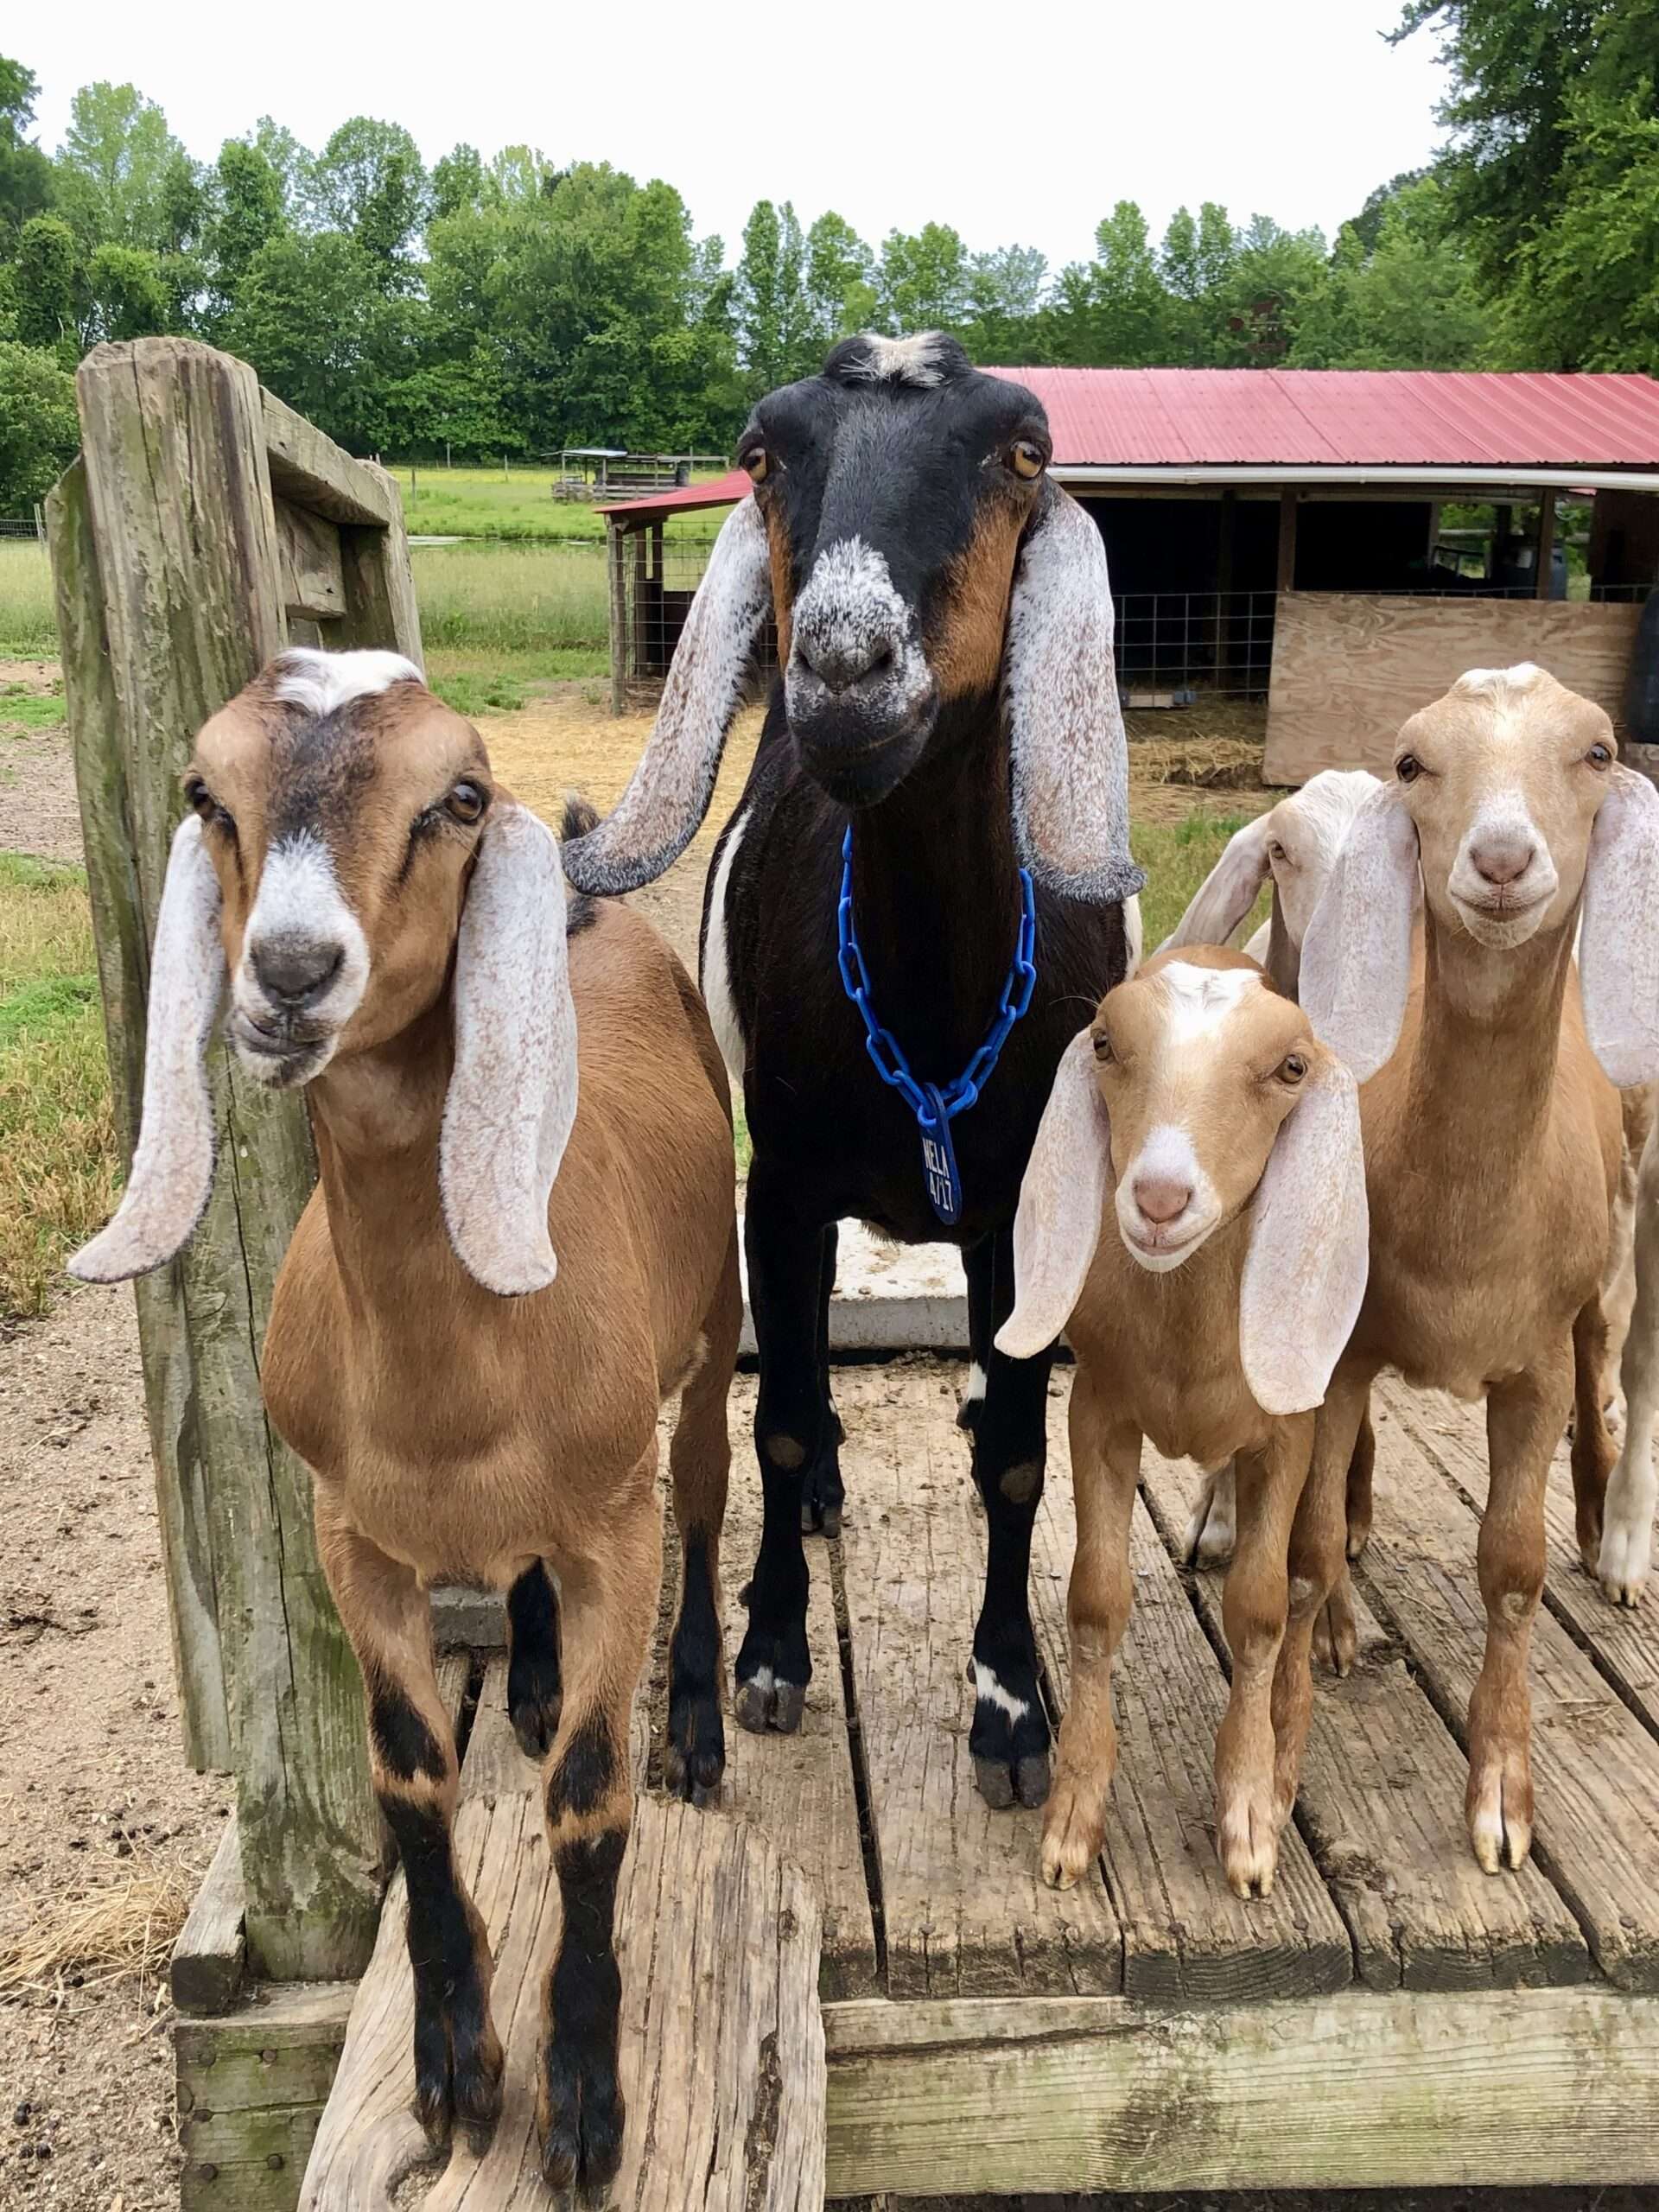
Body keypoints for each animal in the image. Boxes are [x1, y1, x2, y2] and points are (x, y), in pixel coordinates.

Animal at [68, 645, 739, 2194]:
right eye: (209, 792)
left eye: (459, 796)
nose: (290, 972)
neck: (455, 1388)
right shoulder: (348, 1532)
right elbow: (409, 1774)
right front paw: (451, 2065)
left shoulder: (612, 1522)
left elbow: (590, 1800)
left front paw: (583, 2101)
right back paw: (536, 1677)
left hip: (718, 1337)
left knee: (716, 1492)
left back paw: (701, 1724)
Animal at [566, 332, 1150, 1814]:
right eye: (761, 452)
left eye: (1024, 450)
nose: (840, 668)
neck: (928, 1013)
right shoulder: (779, 1185)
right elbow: (774, 1420)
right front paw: (772, 1654)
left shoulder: (1016, 1211)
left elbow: (1018, 1463)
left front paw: (1009, 1707)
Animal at [995, 950, 1371, 1902]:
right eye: (1103, 1044)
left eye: (1290, 1067)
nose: (1160, 1199)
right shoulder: (1098, 1408)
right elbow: (1096, 1599)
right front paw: (1072, 1820)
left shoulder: (1288, 1429)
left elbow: (1265, 1610)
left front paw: (1250, 1817)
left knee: (1317, 1552)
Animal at [1300, 664, 1659, 1875]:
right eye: (1413, 762)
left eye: (1596, 751)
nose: (1501, 860)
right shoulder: (1342, 1348)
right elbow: (1310, 1530)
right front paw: (1329, 1621)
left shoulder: (1532, 1362)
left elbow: (1512, 1564)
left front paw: (1502, 1790)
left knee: (1610, 1362)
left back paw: (1608, 1530)